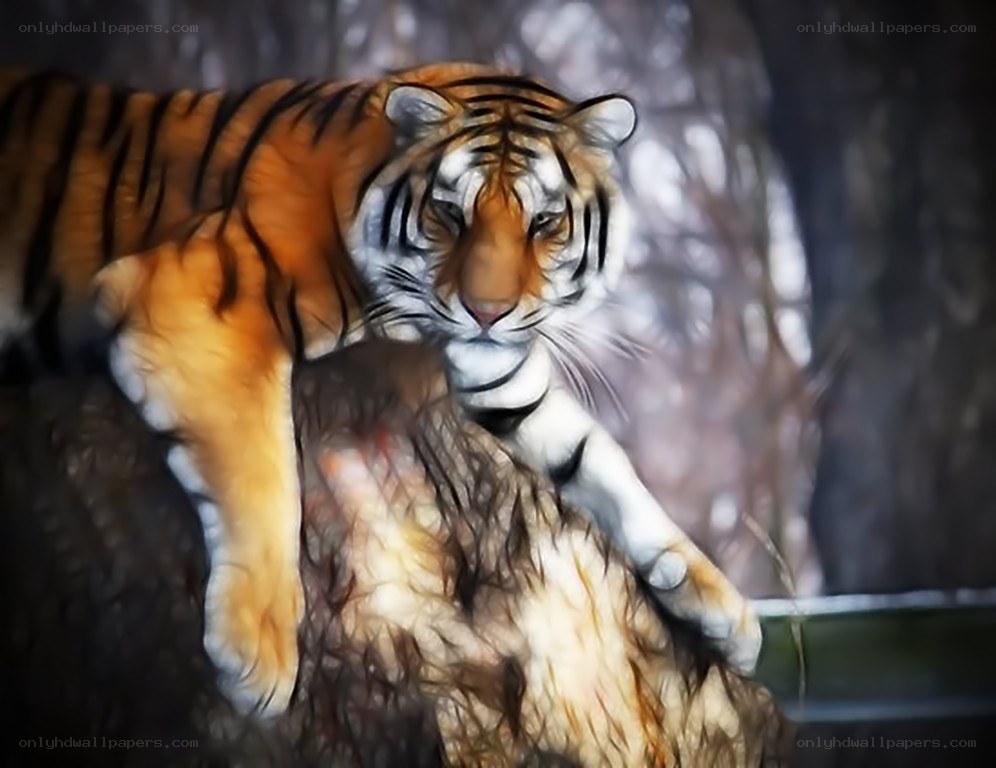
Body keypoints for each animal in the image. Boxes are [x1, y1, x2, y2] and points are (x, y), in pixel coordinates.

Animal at [0, 63, 761, 716]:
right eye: (450, 214)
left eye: (544, 222)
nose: (487, 313)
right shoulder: (201, 299)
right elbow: (264, 475)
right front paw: (260, 655)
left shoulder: (504, 378)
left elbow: (602, 462)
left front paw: (721, 606)